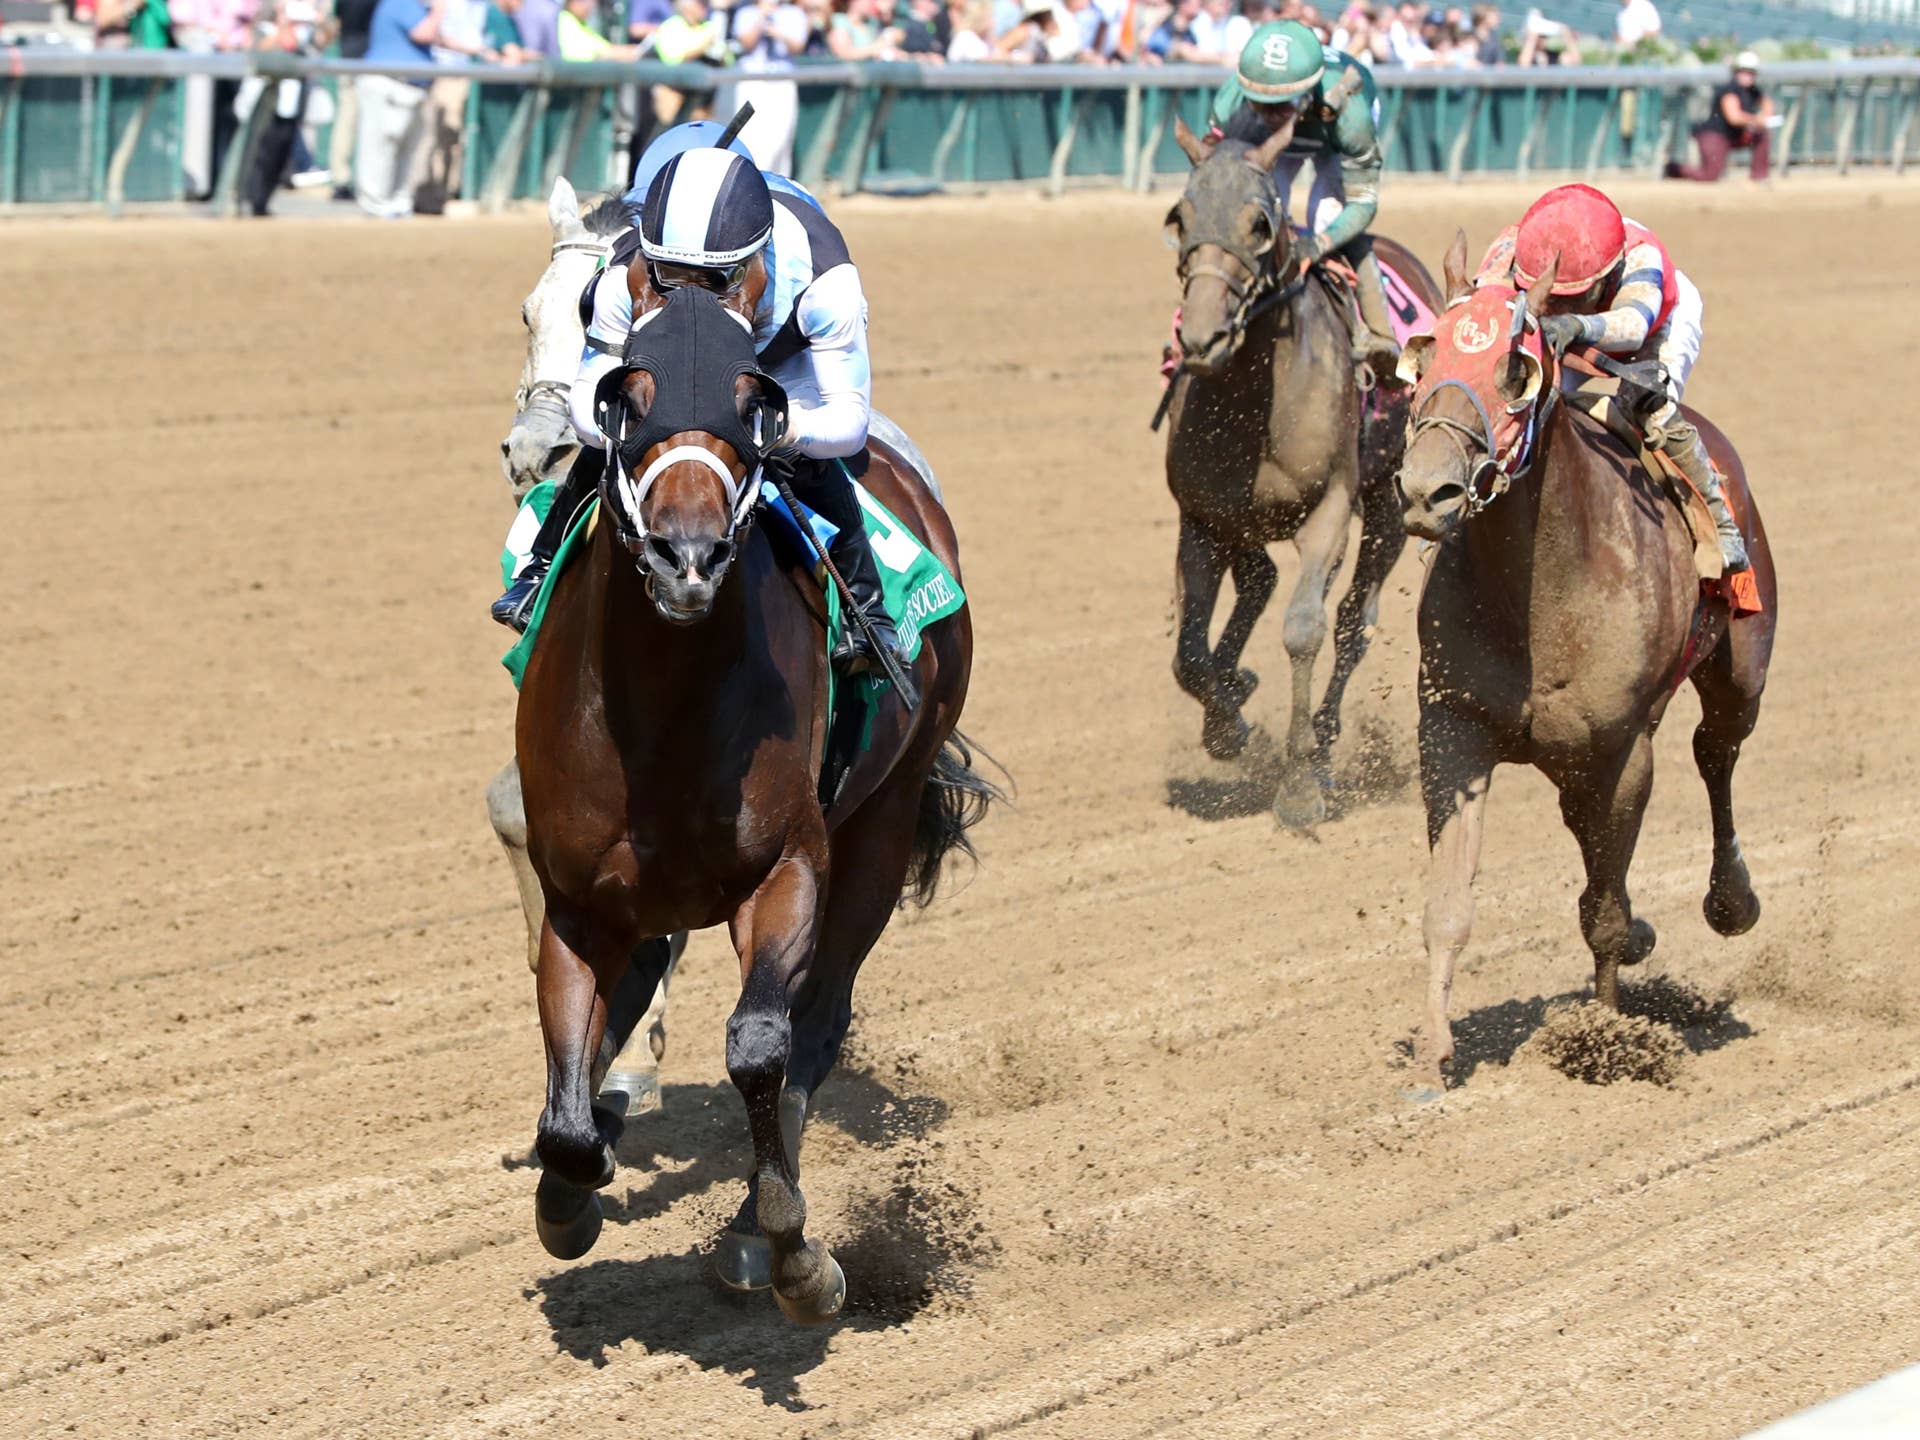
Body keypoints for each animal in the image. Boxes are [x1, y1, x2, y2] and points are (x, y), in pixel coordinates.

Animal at [515, 279, 995, 1324]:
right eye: (626, 396)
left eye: (754, 403)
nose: (686, 558)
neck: (664, 714)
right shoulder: (578, 897)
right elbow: (572, 1063)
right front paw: (571, 1188)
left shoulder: (786, 868)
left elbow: (760, 1044)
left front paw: (790, 1251)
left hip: (884, 820)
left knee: (818, 1021)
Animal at [1163, 116, 1441, 826]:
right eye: (1180, 216)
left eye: (1260, 223)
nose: (1202, 340)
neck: (1257, 397)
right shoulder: (1203, 519)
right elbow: (1189, 652)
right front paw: (1226, 721)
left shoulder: (1329, 513)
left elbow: (1304, 630)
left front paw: (1298, 784)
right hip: (1245, 521)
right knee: (1258, 581)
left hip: (1388, 509)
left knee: (1351, 624)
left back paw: (1324, 738)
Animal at [1396, 233, 1778, 1081]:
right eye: (1425, 350)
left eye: (1516, 369)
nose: (1428, 491)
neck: (1537, 595)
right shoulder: (1453, 730)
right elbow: (1446, 902)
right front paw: (1433, 1058)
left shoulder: (1623, 748)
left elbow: (1603, 909)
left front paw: (1607, 1038)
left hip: (1742, 669)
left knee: (1717, 752)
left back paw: (1730, 900)